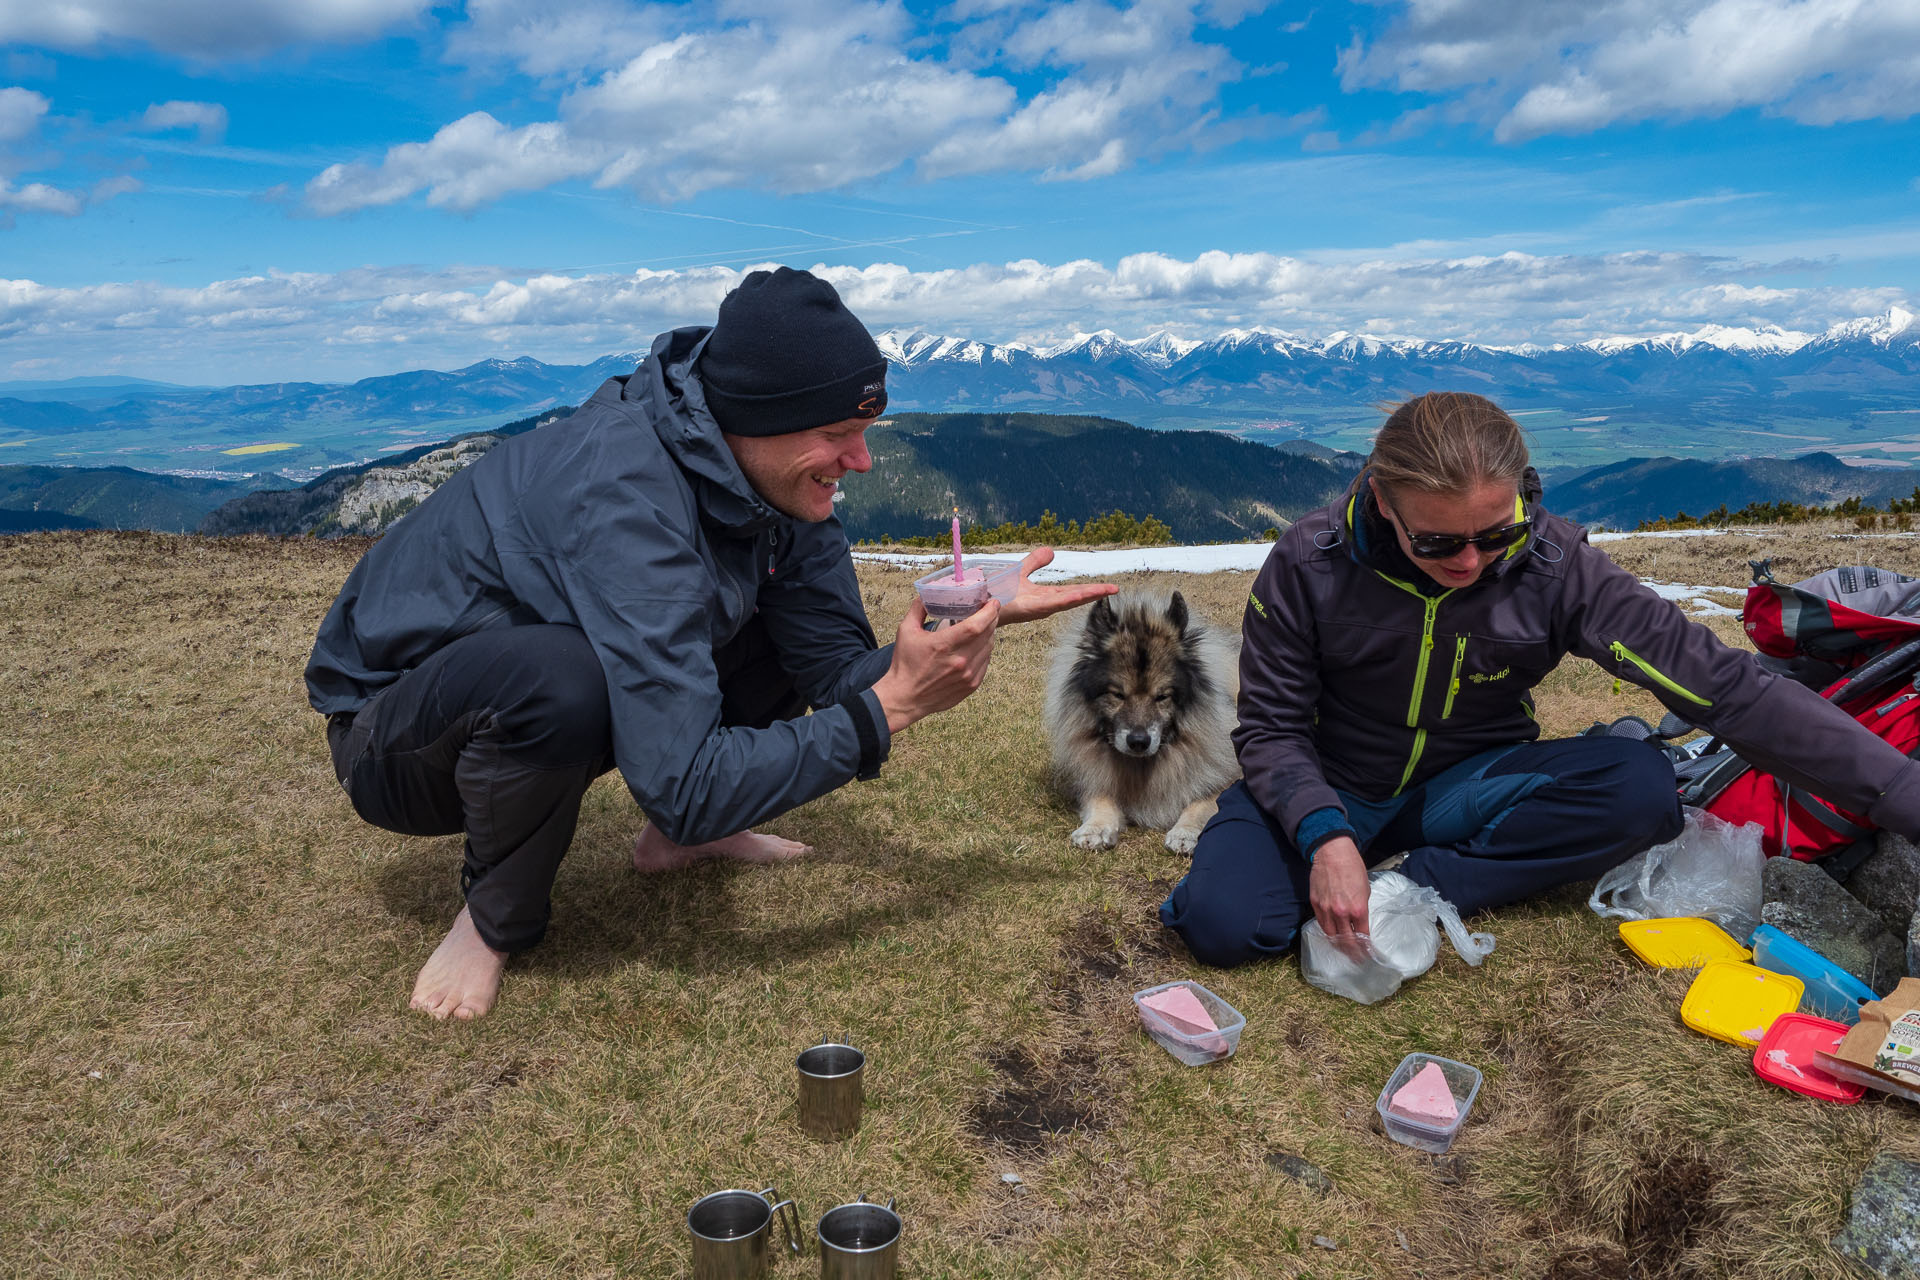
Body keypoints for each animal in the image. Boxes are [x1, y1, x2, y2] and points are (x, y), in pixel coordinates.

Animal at [1044, 594, 1236, 855]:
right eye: (1117, 695)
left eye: (1162, 697)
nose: (1138, 742)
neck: (1141, 765)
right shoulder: (1095, 777)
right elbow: (1100, 798)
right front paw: (1095, 828)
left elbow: (1203, 802)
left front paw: (1184, 832)